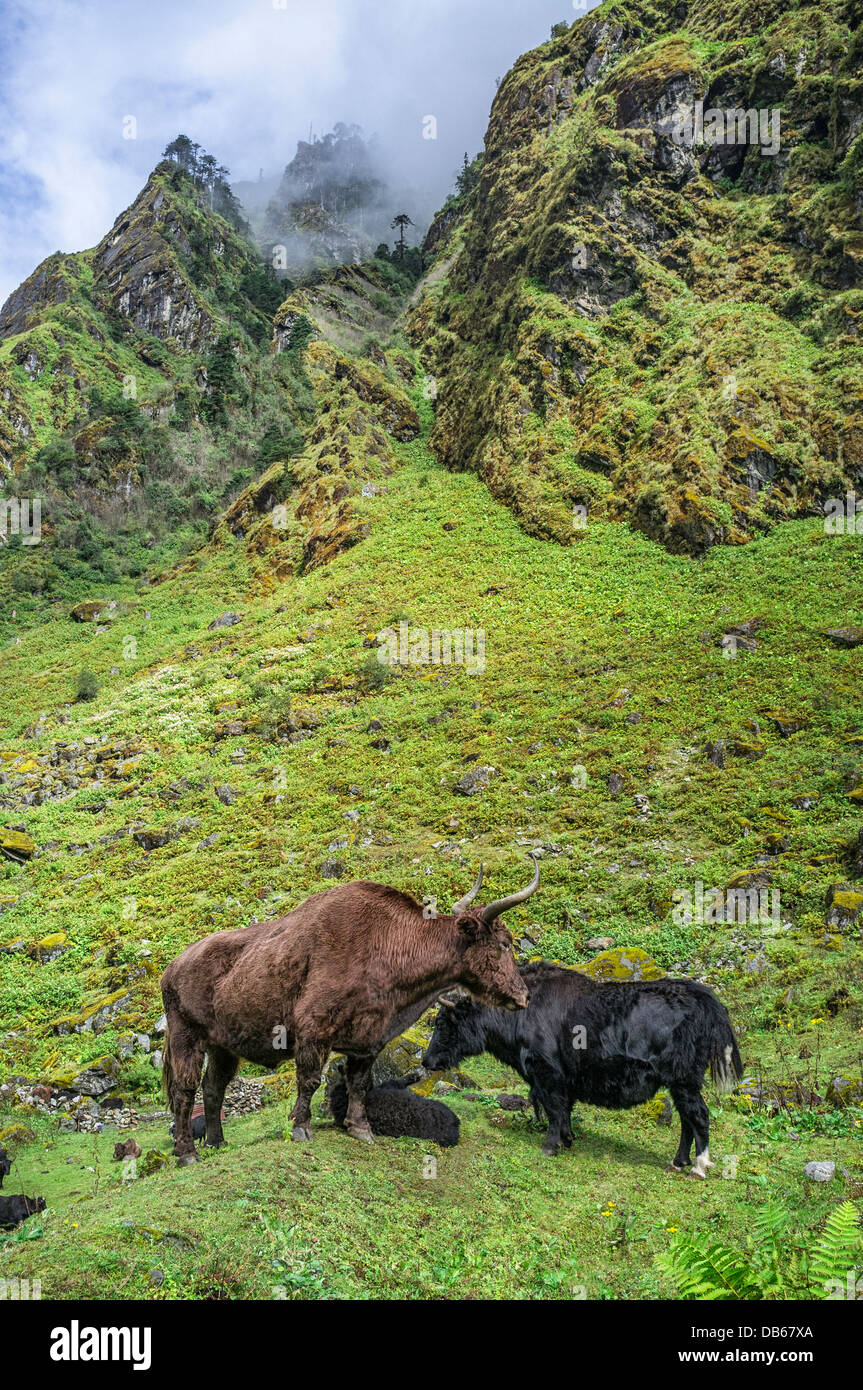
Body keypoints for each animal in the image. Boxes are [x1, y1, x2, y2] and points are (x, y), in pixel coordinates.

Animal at [425, 967, 739, 1173]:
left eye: (444, 1021)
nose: (427, 1061)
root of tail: (700, 998)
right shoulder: (565, 1079)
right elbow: (565, 1109)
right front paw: (567, 1139)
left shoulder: (547, 1072)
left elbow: (554, 1108)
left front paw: (550, 1146)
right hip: (679, 1083)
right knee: (686, 1119)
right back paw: (677, 1162)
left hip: (684, 1079)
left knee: (698, 1115)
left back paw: (698, 1166)